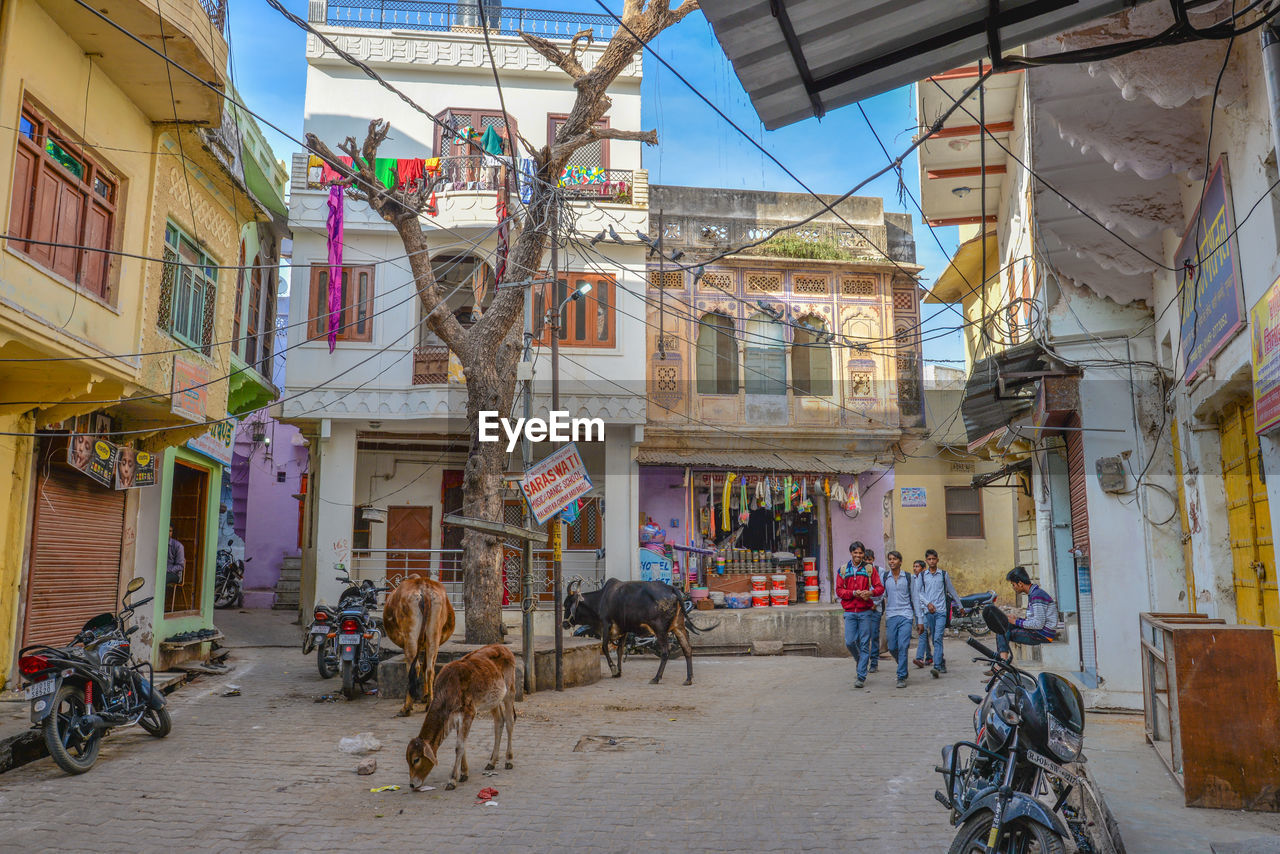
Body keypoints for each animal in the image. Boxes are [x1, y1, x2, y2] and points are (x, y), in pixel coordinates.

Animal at [381, 578, 453, 717]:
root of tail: (423, 588)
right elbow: (425, 666)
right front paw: (425, 696)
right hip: (433, 636)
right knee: (430, 670)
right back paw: (429, 703)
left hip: (410, 637)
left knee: (414, 668)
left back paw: (406, 707)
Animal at [404, 645, 514, 793]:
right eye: (407, 760)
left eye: (416, 760)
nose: (411, 784)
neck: (448, 691)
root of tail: (504, 647)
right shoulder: (456, 719)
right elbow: (463, 744)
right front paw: (464, 773)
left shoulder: (469, 713)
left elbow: (459, 746)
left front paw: (452, 780)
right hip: (493, 700)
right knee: (499, 721)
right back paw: (491, 762)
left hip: (510, 691)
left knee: (510, 722)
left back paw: (508, 760)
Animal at [563, 578, 696, 686]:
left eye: (567, 604)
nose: (564, 624)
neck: (600, 600)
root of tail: (671, 588)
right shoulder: (624, 630)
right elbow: (619, 650)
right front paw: (619, 671)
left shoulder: (606, 625)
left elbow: (605, 647)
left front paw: (613, 669)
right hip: (678, 627)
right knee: (687, 649)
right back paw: (689, 679)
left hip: (660, 630)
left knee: (665, 652)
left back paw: (656, 678)